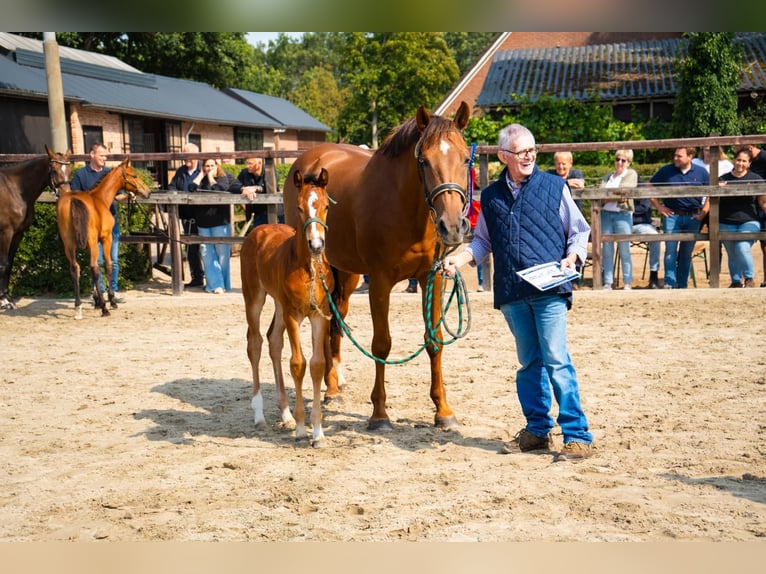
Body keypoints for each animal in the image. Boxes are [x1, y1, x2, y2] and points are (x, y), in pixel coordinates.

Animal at [0, 146, 72, 310]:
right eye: (54, 170)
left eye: (70, 170)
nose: (65, 194)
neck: (15, 189)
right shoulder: (5, 233)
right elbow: (3, 264)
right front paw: (4, 300)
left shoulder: (18, 234)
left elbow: (9, 264)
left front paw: (7, 297)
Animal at [56, 156, 151, 319]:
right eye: (134, 175)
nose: (147, 192)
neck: (100, 198)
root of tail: (73, 200)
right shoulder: (106, 239)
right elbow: (107, 266)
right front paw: (110, 301)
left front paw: (96, 300)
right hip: (91, 241)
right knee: (94, 268)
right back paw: (104, 309)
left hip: (68, 243)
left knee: (75, 269)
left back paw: (78, 307)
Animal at [241, 167, 333, 446]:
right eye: (300, 207)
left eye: (326, 206)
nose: (316, 244)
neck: (309, 268)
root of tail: (259, 229)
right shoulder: (294, 315)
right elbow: (298, 364)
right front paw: (303, 428)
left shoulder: (320, 316)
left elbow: (317, 364)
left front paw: (318, 431)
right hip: (254, 297)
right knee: (255, 343)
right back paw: (259, 414)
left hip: (280, 305)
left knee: (273, 340)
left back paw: (286, 414)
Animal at [283, 101, 472, 431]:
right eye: (424, 161)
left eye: (465, 158)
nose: (452, 227)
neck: (405, 207)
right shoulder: (380, 281)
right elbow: (382, 344)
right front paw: (380, 414)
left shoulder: (431, 277)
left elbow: (434, 341)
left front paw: (443, 411)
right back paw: (331, 390)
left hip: (347, 274)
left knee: (336, 322)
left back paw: (333, 389)